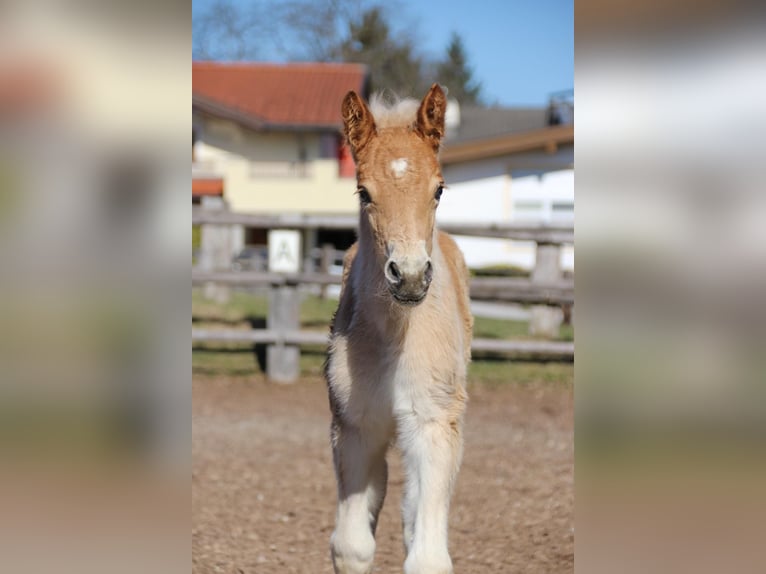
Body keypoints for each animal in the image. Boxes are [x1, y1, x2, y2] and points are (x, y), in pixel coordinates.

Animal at [325, 84, 473, 574]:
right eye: (363, 192)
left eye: (439, 190)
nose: (408, 277)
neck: (395, 337)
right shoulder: (354, 429)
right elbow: (352, 546)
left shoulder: (434, 425)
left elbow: (427, 556)